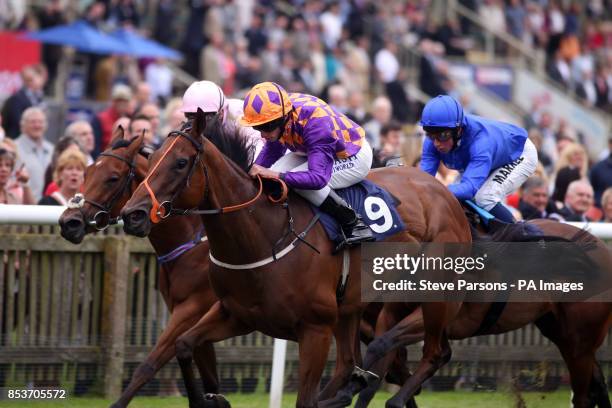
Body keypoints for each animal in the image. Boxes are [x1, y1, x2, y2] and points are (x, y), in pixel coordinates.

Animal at [58, 129, 221, 406]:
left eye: (113, 178)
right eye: (86, 173)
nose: (69, 223)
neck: (193, 245)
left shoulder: (192, 309)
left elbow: (148, 365)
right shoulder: (195, 317)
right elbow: (209, 377)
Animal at [119, 110, 470, 406]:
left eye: (180, 163)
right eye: (150, 163)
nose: (132, 215)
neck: (263, 236)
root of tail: (443, 191)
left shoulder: (314, 329)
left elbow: (304, 400)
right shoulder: (235, 314)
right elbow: (183, 346)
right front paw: (209, 400)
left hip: (434, 297)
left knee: (436, 352)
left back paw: (391, 397)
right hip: (355, 308)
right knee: (351, 364)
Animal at [328, 220, 608, 408]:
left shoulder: (433, 316)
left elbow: (387, 348)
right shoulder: (390, 314)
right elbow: (382, 359)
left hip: (581, 339)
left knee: (584, 396)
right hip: (562, 333)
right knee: (597, 384)